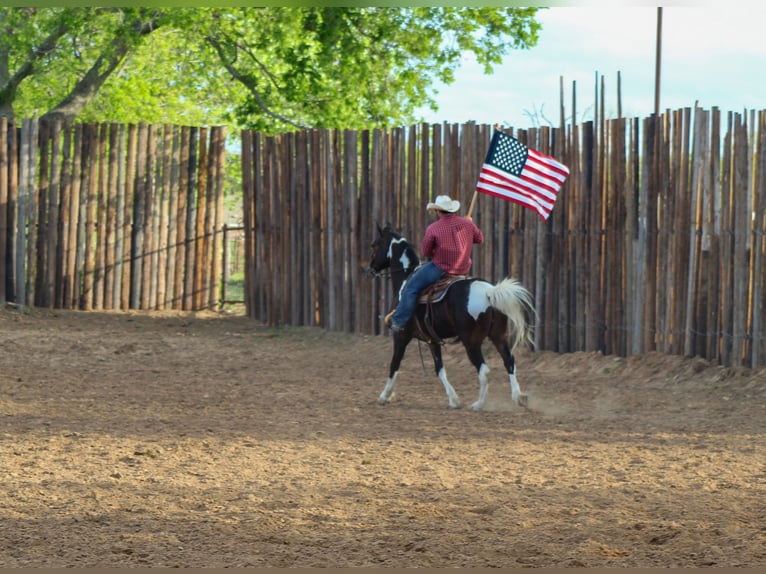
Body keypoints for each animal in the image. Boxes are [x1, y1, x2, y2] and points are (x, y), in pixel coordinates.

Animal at [364, 223, 536, 412]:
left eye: (374, 245)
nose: (369, 269)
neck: (405, 279)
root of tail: (490, 292)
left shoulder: (401, 335)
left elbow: (394, 364)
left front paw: (384, 396)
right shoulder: (432, 340)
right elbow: (439, 369)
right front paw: (454, 400)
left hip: (471, 341)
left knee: (484, 369)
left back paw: (478, 404)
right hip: (498, 336)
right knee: (509, 361)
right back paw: (519, 397)